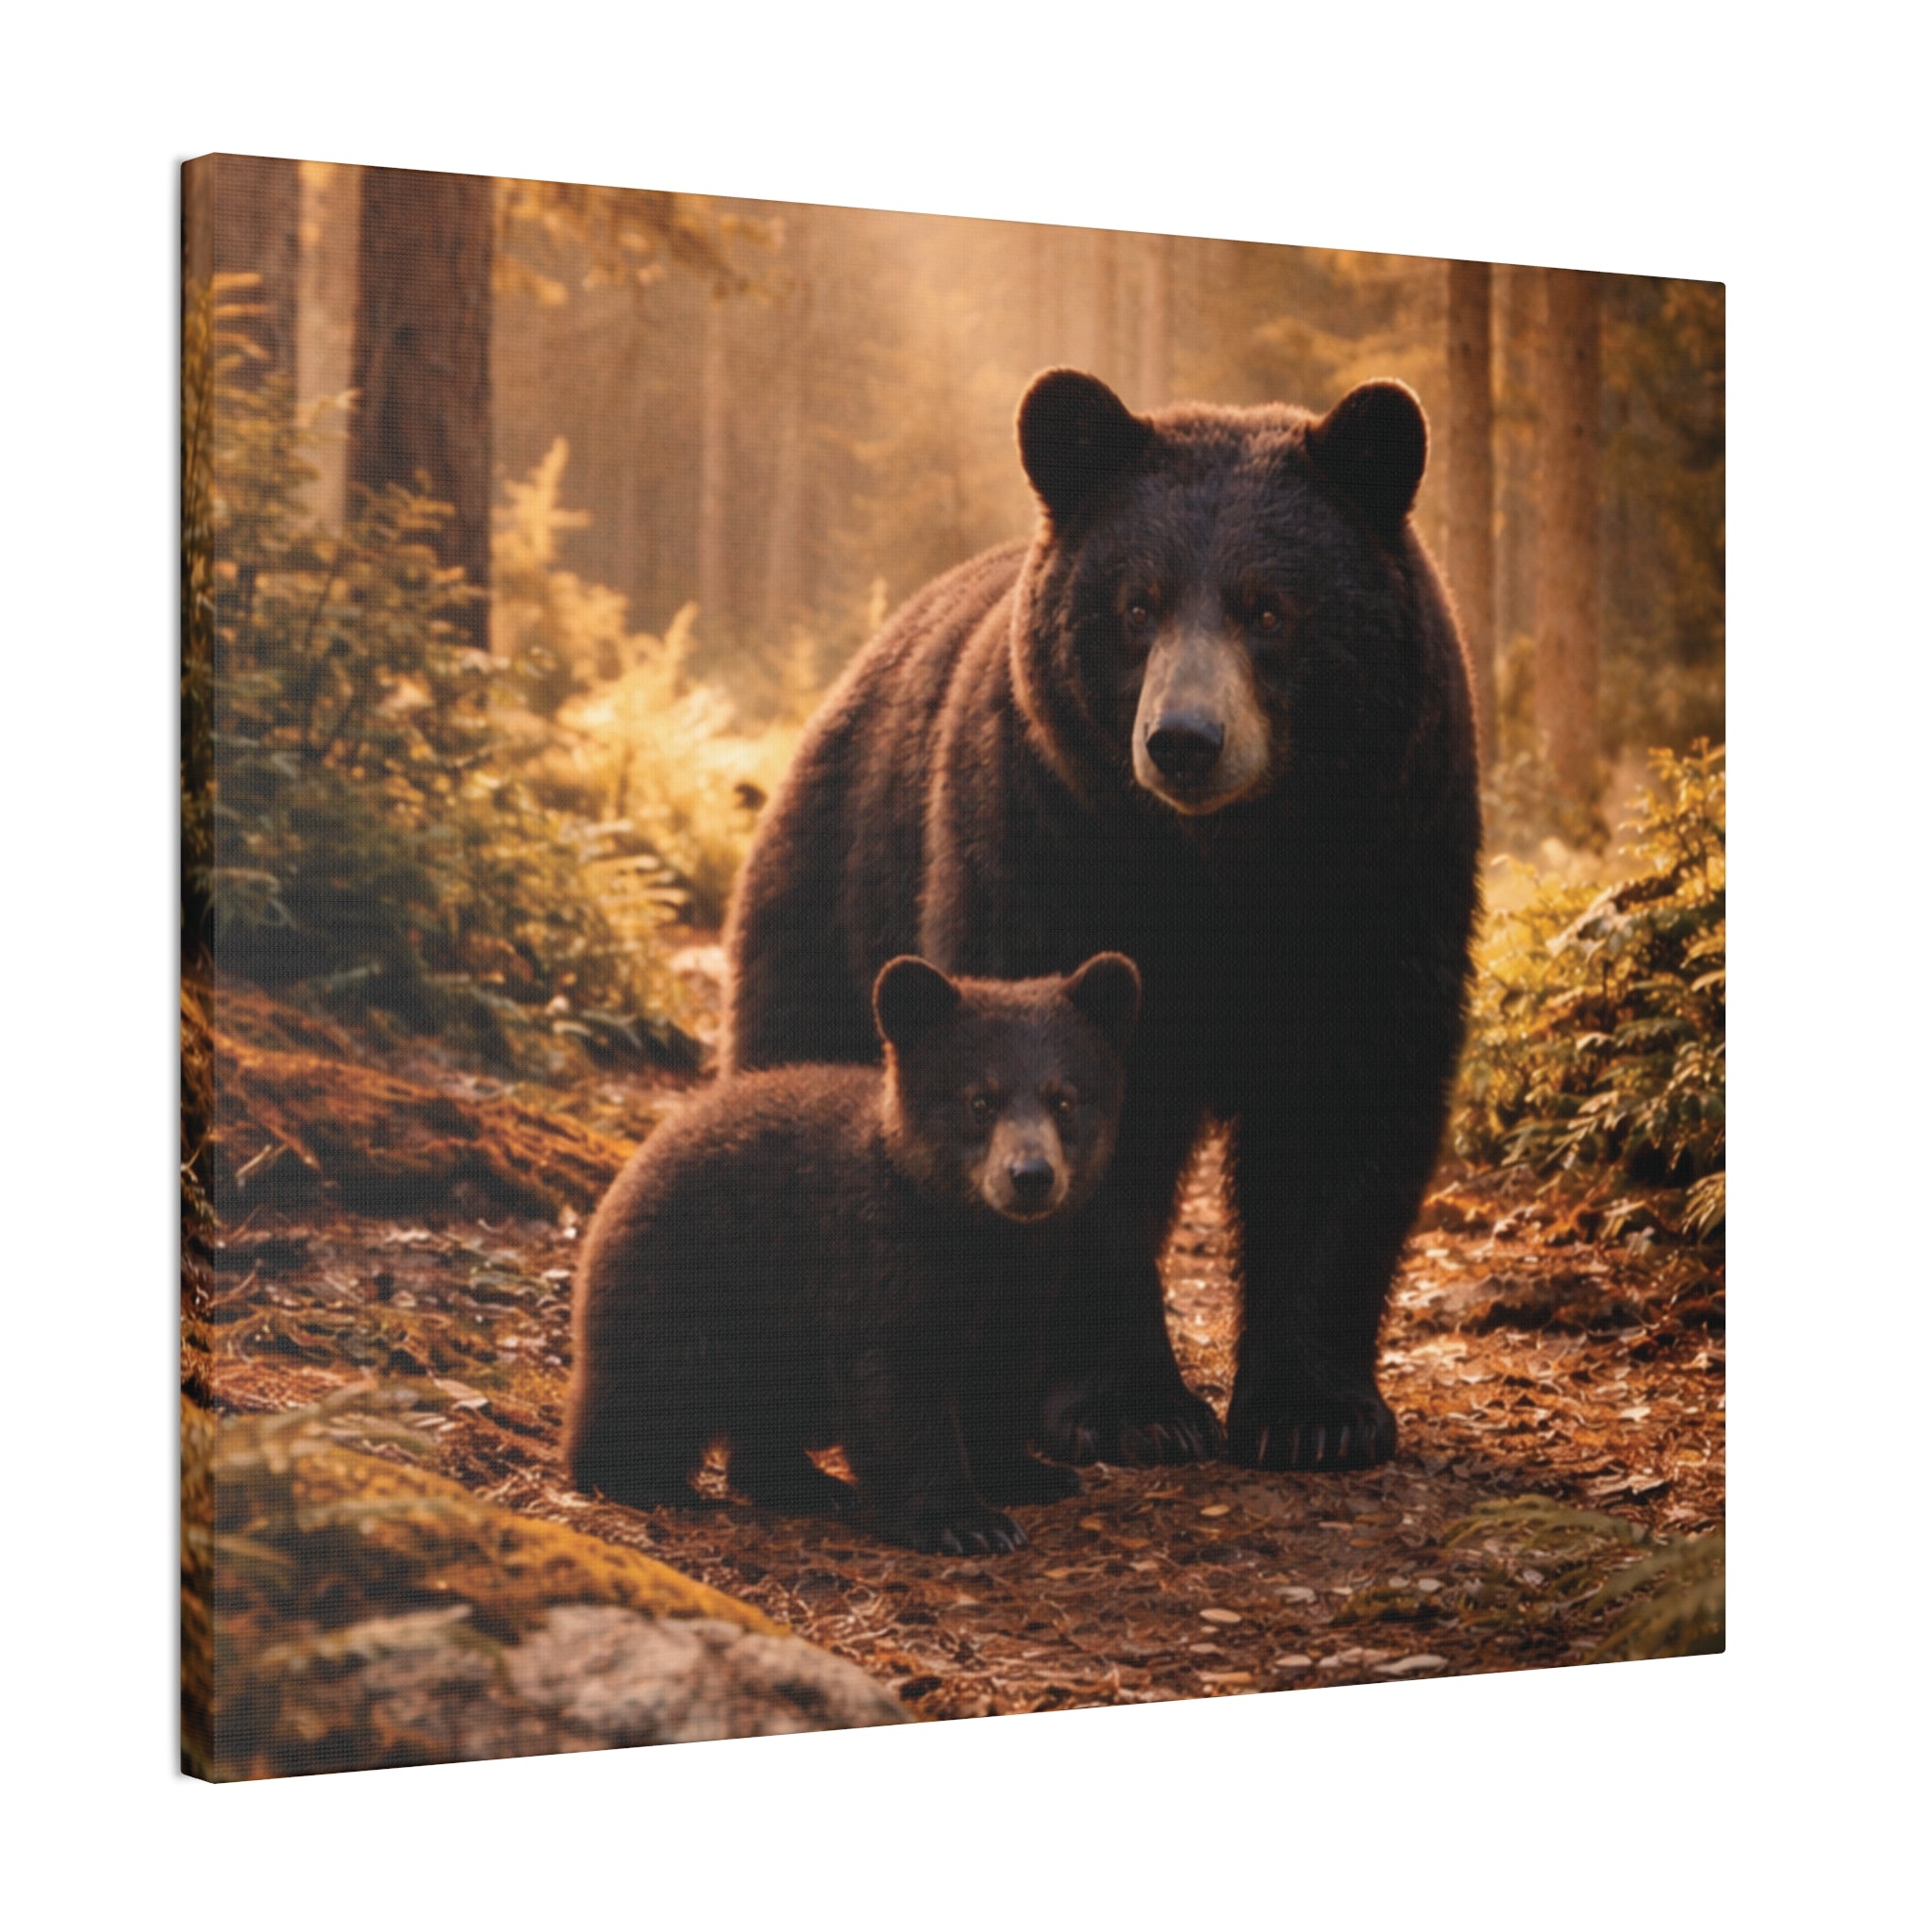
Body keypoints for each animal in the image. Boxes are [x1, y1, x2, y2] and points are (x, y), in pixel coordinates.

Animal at [564, 950, 1141, 1554]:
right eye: (980, 1100)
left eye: (1064, 1099)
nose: (1030, 1176)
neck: (973, 1236)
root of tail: (635, 1159)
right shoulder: (875, 1258)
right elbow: (898, 1385)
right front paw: (968, 1521)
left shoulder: (1026, 1280)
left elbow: (1001, 1371)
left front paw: (1031, 1473)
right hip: (687, 1280)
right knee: (651, 1387)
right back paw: (645, 1479)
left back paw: (807, 1483)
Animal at [722, 368, 1481, 1474]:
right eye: (1137, 603)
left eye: (1268, 606)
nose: (1184, 740)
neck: (1223, 865)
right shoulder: (1051, 841)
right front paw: (1130, 1406)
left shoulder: (1382, 865)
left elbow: (1344, 1099)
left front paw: (1315, 1412)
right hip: (836, 887)